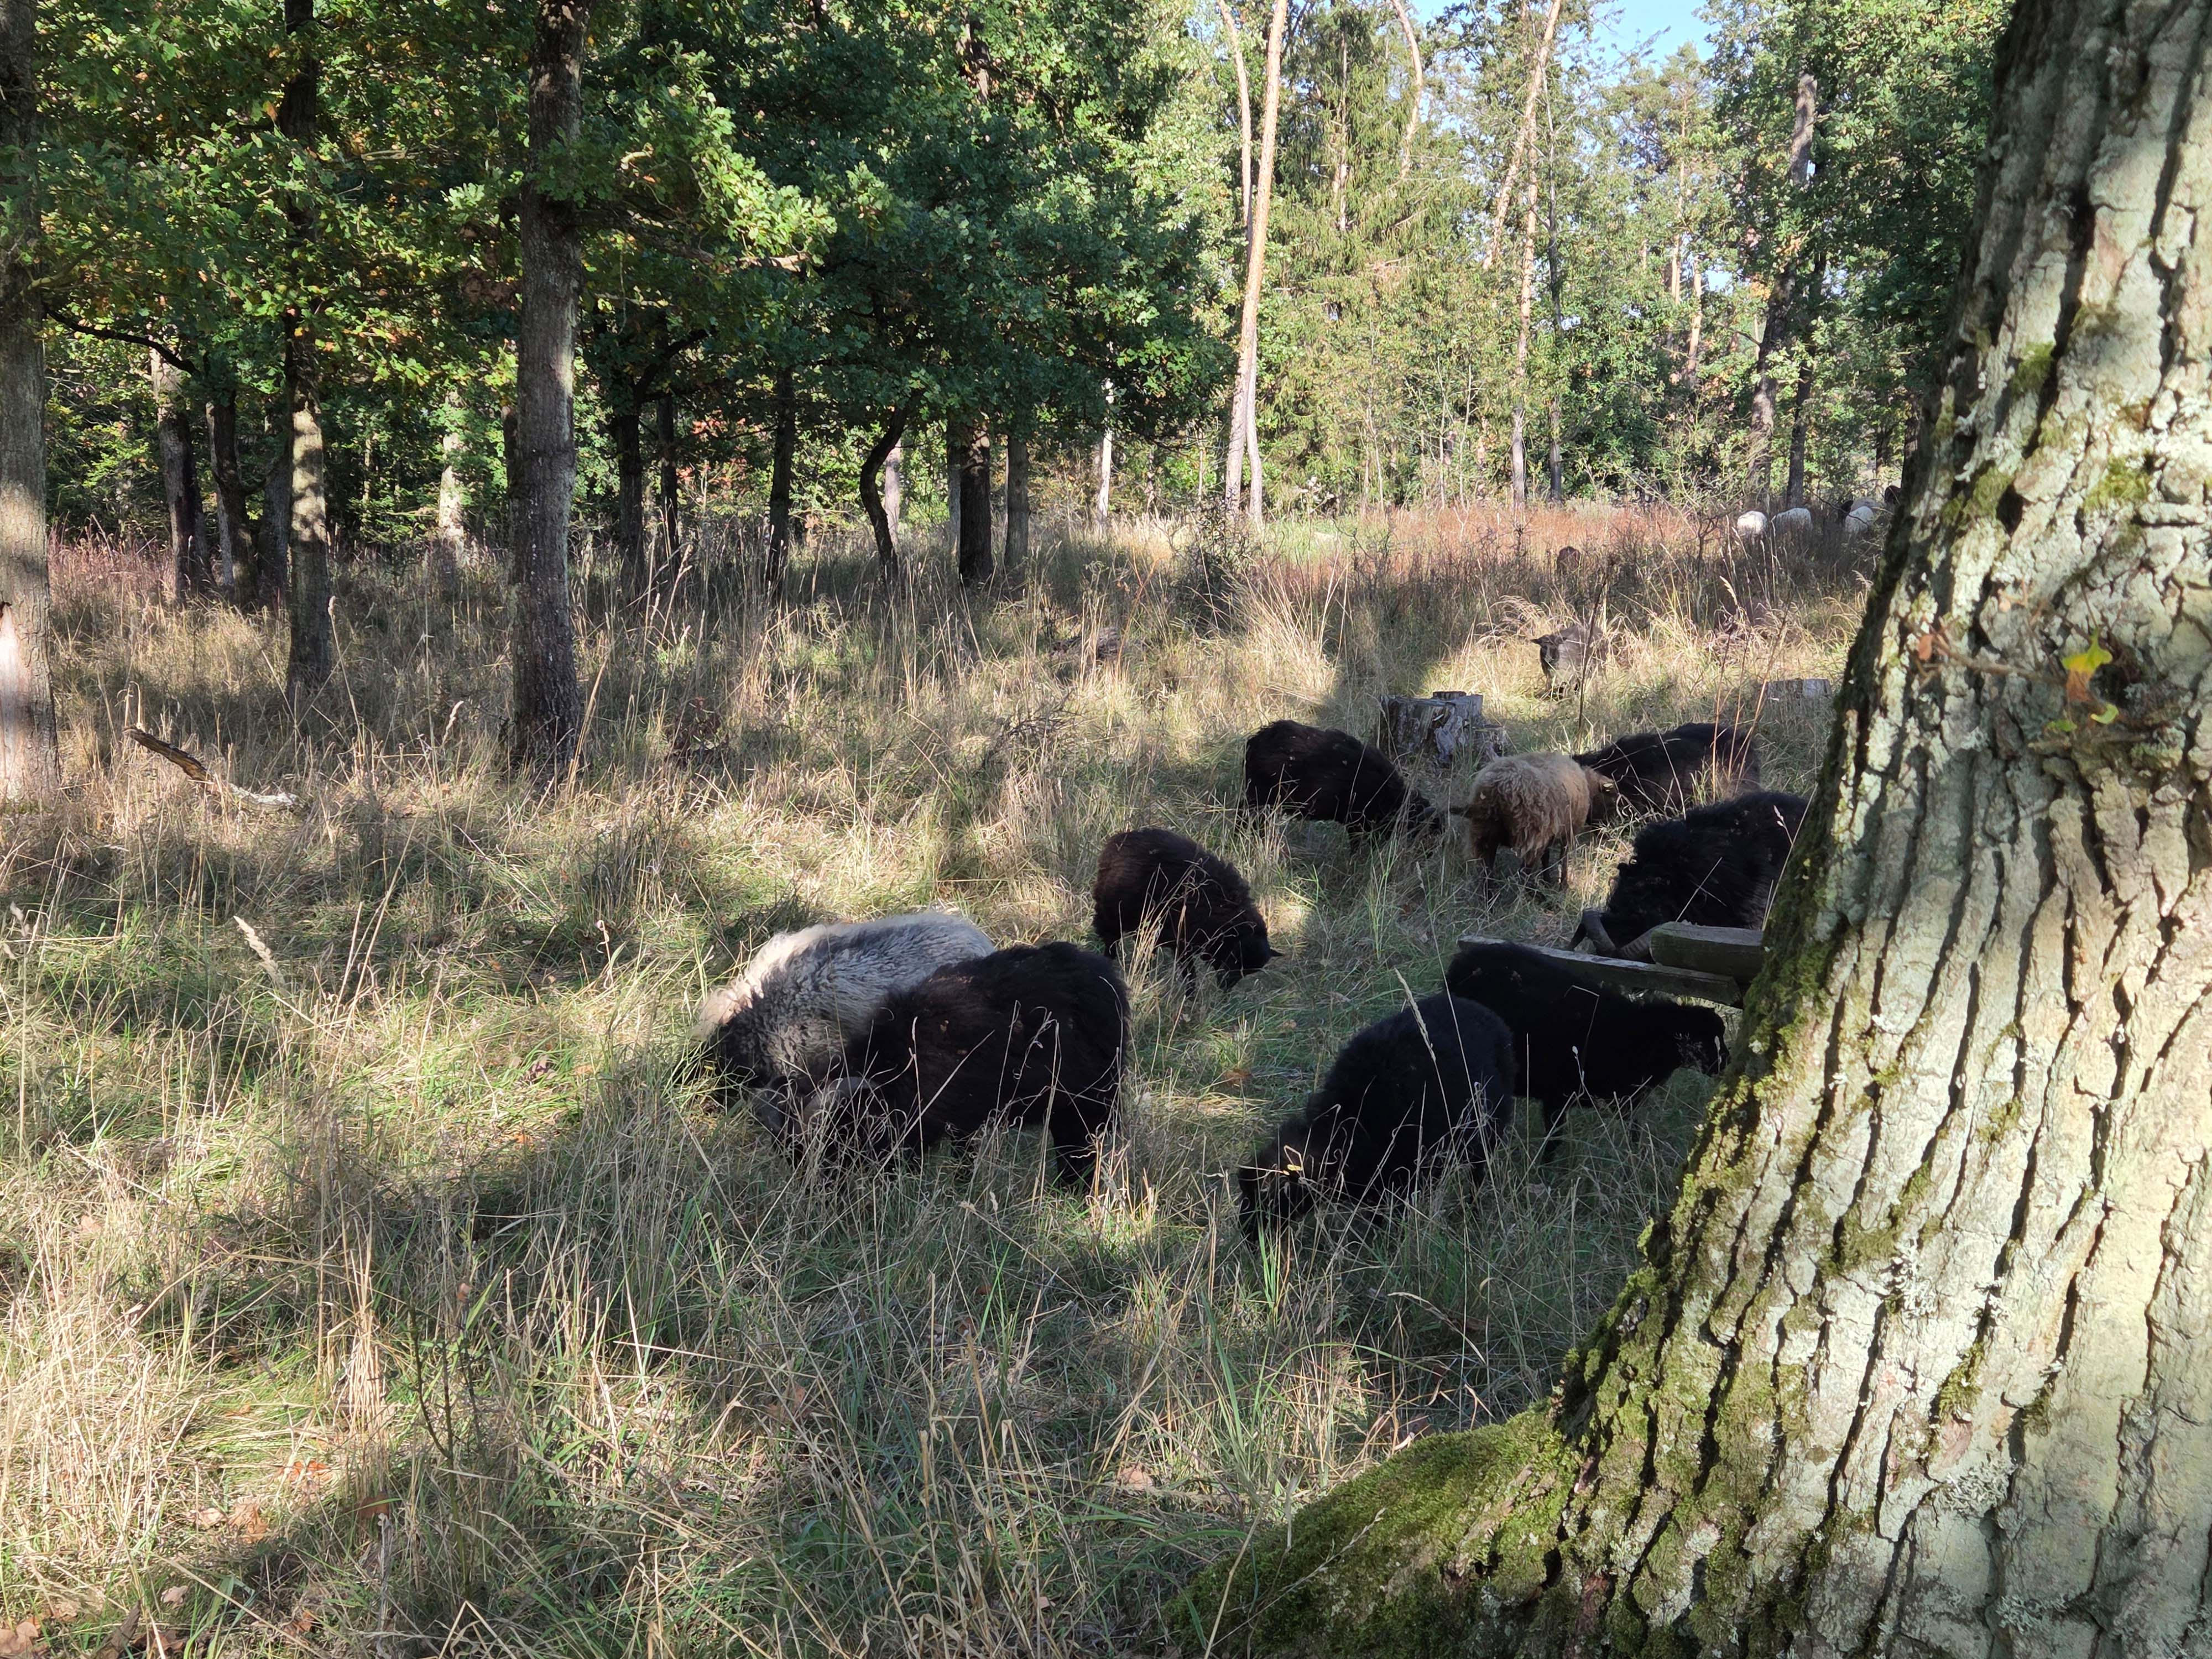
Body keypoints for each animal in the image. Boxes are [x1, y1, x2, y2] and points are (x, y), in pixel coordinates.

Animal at [789, 942, 1128, 1185]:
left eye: (838, 1137)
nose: (815, 1190)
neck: (901, 1061)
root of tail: (1103, 975)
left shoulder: (961, 1117)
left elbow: (962, 1161)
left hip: (1089, 1101)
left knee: (1079, 1149)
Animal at [1092, 827, 1277, 986]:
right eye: (1235, 960)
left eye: (1247, 972)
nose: (1225, 988)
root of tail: (1119, 840)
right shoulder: (1183, 942)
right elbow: (1190, 974)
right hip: (1111, 911)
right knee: (1110, 939)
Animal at [1238, 993, 1515, 1231]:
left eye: (1268, 1199)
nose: (1248, 1236)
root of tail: (1481, 1010)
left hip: (1487, 1129)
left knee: (1478, 1173)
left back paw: (1474, 1210)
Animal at [1444, 942, 1727, 1165]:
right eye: (1705, 1040)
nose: (1726, 1064)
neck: (1638, 1036)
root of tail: (1462, 963)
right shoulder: (1558, 1095)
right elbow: (1554, 1139)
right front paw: (1544, 1171)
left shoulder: (1626, 1103)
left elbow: (1634, 1135)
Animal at [1449, 753, 1618, 885]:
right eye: (1611, 803)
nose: (1607, 834)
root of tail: (1495, 791)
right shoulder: (1568, 832)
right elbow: (1563, 860)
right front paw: (1563, 885)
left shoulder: (1548, 834)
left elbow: (1546, 858)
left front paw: (1547, 880)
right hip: (1529, 836)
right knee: (1523, 876)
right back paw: (1542, 900)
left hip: (1483, 835)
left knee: (1486, 875)